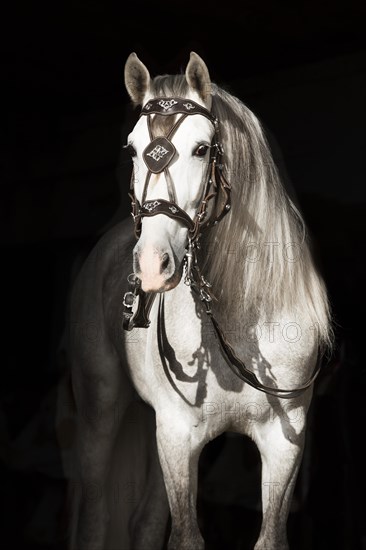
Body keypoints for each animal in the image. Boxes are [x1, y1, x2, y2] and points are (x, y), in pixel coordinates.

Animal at [67, 52, 334, 550]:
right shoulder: (176, 436)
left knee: (145, 521)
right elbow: (186, 538)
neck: (240, 322)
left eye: (202, 149)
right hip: (99, 416)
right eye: (132, 150)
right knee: (95, 516)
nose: (152, 265)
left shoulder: (284, 443)